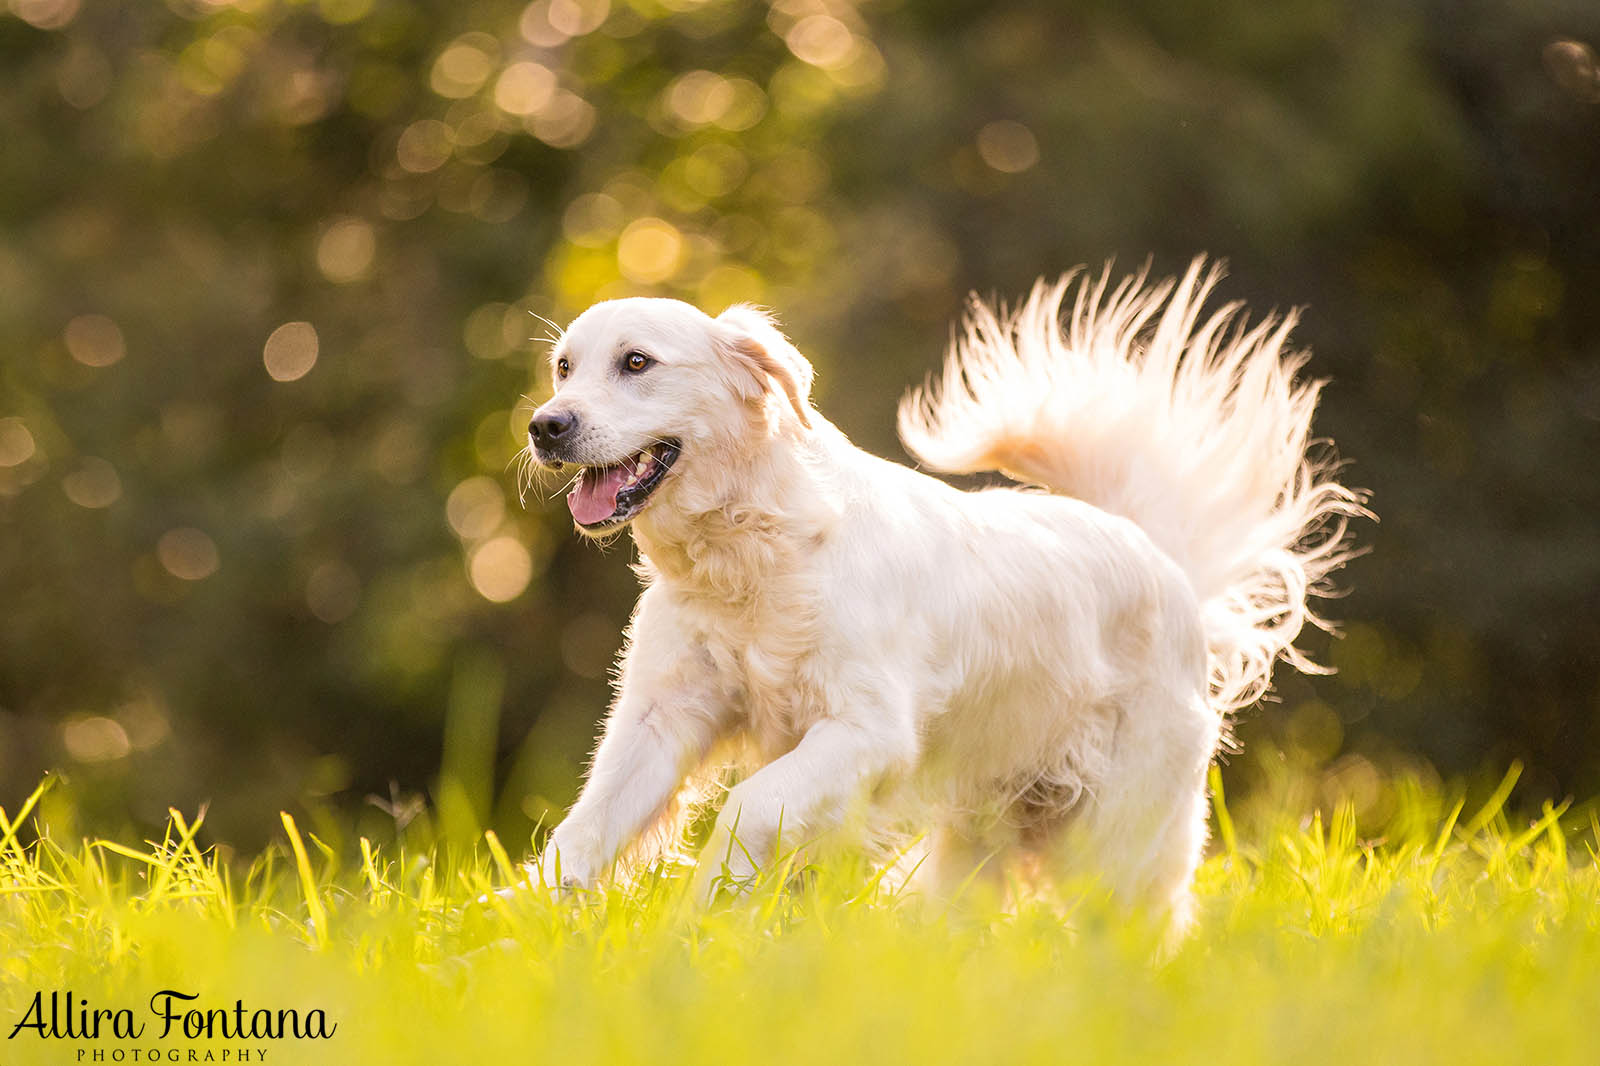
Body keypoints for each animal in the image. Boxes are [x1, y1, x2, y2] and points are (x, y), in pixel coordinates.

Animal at [521, 256, 1363, 921]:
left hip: (1116, 839)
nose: (545, 426)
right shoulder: (660, 717)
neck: (753, 554)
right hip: (978, 835)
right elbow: (582, 831)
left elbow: (746, 805)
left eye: (636, 363)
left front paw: (703, 914)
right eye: (564, 366)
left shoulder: (867, 730)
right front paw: (524, 923)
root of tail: (1158, 556)